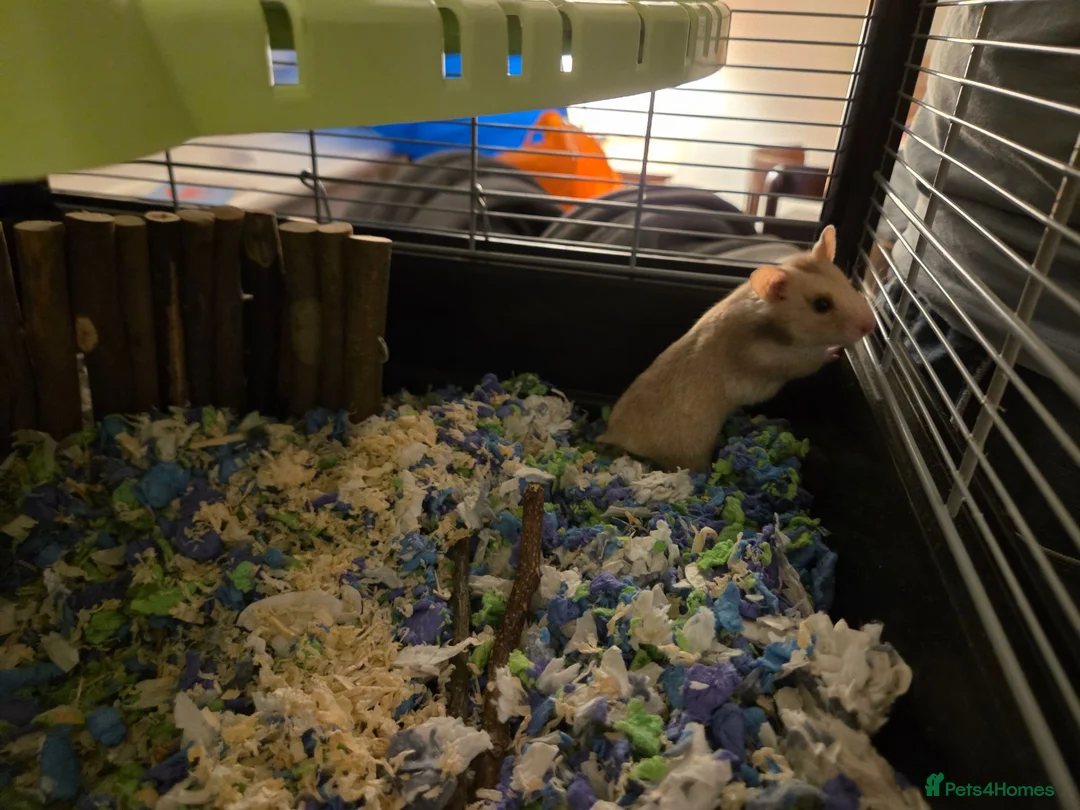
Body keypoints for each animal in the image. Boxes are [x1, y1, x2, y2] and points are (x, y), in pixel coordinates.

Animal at [597, 225, 875, 473]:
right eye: (822, 304)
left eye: (847, 283)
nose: (871, 326)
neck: (772, 322)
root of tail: (612, 434)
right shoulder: (782, 360)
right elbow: (813, 360)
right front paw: (836, 351)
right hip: (688, 452)